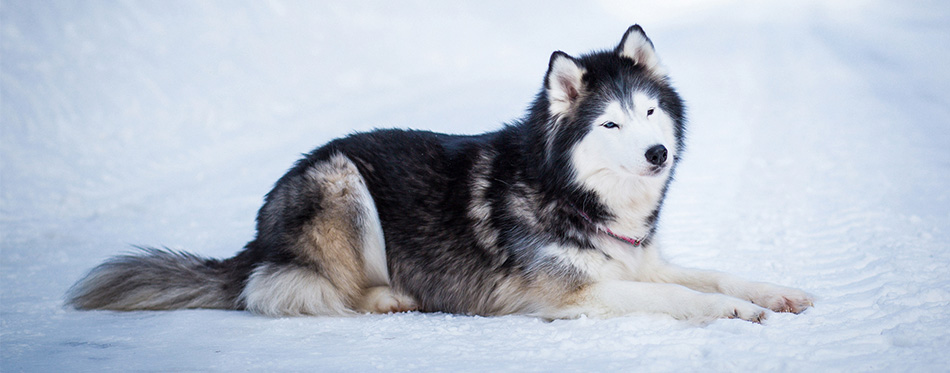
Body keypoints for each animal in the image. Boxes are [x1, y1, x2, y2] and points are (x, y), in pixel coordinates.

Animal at [67, 24, 816, 322]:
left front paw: (773, 292)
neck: (573, 196)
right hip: (342, 182)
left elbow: (712, 274)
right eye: (611, 125)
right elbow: (681, 296)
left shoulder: (641, 261)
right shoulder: (573, 294)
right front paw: (735, 312)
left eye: (651, 113)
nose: (657, 153)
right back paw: (388, 298)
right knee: (289, 291)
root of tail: (256, 234)